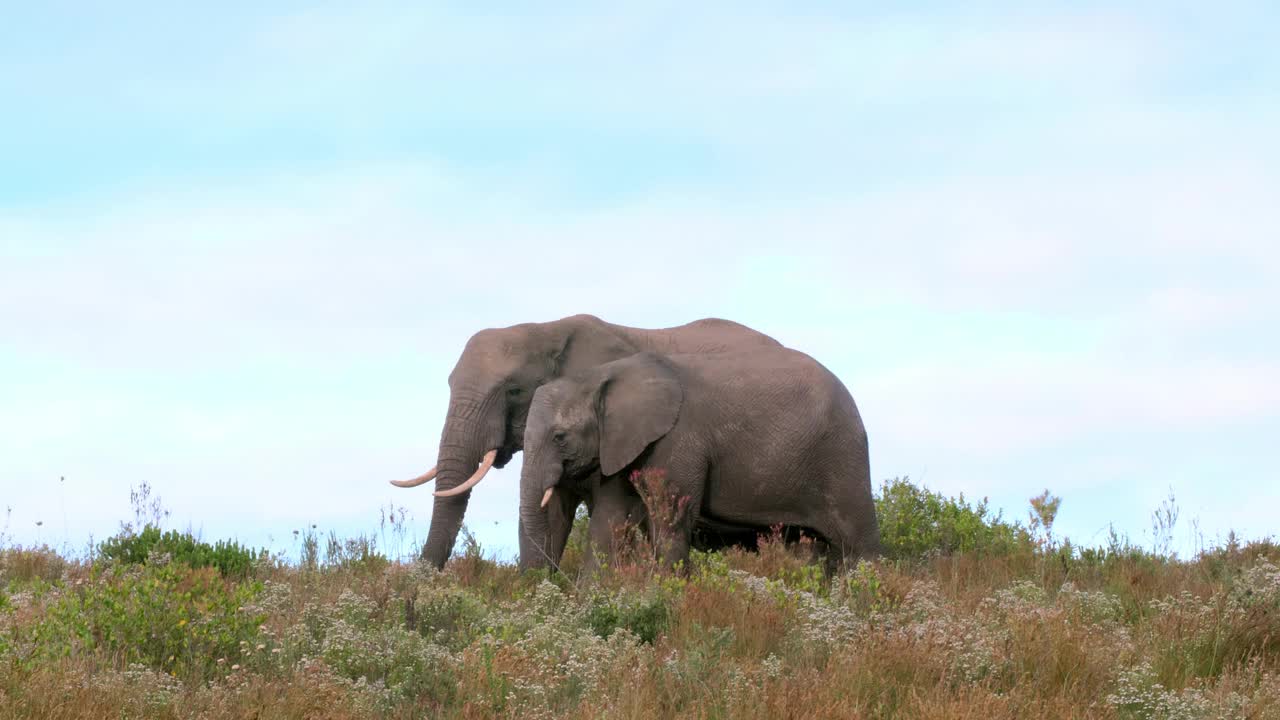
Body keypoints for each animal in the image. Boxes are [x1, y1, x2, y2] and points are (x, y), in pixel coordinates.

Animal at [517, 348, 880, 571]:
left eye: (559, 437)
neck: (602, 375)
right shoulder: (623, 445)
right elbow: (611, 519)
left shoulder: (678, 438)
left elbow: (670, 521)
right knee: (809, 550)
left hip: (841, 456)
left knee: (858, 544)